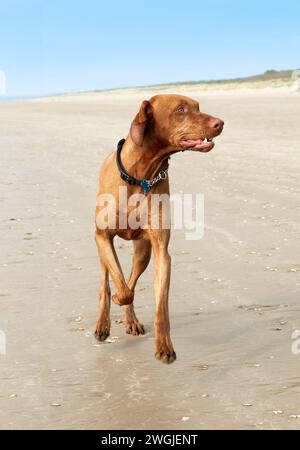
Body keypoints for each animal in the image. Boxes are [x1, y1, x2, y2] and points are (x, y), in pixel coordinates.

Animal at [94, 94, 223, 362]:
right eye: (181, 109)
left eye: (198, 106)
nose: (220, 123)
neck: (141, 175)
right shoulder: (102, 236)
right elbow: (120, 286)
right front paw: (115, 301)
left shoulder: (161, 251)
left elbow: (157, 303)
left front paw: (164, 346)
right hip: (103, 247)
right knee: (107, 281)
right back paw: (103, 322)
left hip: (143, 251)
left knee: (131, 279)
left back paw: (131, 320)